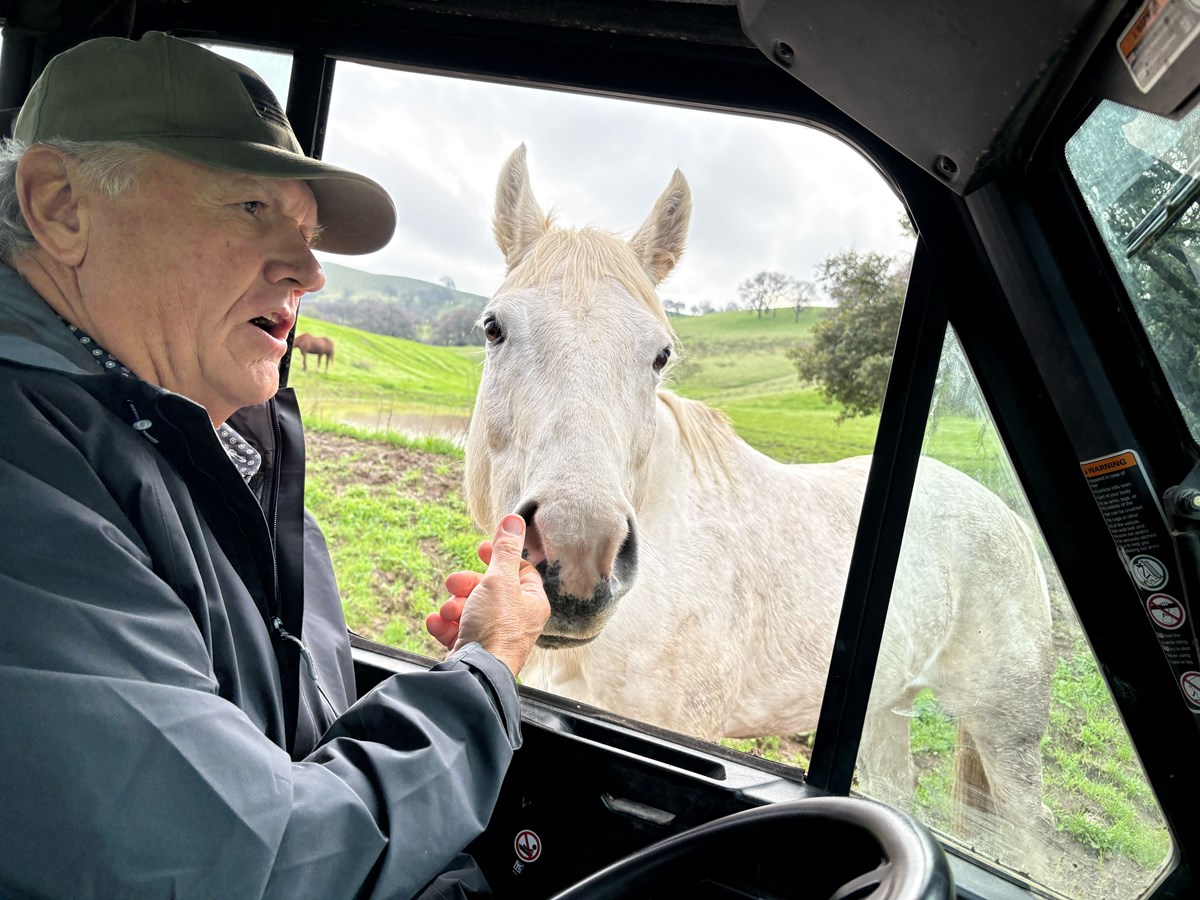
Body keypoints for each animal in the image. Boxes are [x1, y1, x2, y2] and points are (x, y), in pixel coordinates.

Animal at [464, 145, 1055, 860]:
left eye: (661, 354)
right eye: (494, 328)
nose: (578, 554)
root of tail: (1009, 518)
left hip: (1007, 732)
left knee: (1027, 836)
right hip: (888, 710)